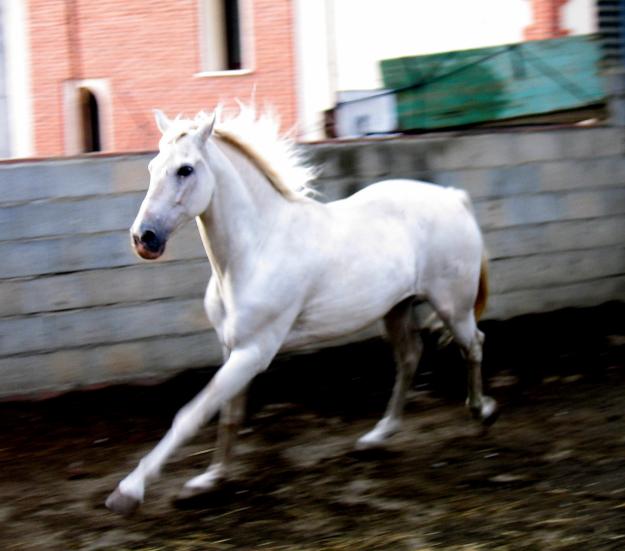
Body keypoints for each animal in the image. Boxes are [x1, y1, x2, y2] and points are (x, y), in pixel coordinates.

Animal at [106, 108, 498, 516]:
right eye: (152, 167)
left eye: (185, 169)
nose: (143, 238)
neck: (256, 250)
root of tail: (454, 198)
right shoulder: (232, 348)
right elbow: (228, 413)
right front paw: (209, 479)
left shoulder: (254, 352)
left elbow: (191, 414)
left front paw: (127, 491)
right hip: (396, 308)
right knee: (409, 358)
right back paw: (378, 435)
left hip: (452, 305)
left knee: (473, 344)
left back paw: (481, 412)